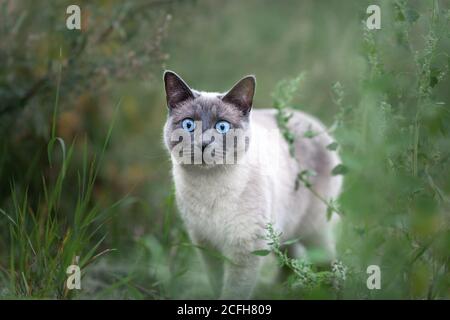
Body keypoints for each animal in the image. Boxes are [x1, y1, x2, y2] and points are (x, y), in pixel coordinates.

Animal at [163, 70, 342, 300]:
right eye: (188, 125)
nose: (203, 144)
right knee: (289, 261)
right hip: (284, 232)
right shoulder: (206, 244)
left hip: (312, 230)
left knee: (326, 262)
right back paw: (279, 291)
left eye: (222, 126)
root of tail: (315, 123)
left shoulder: (245, 247)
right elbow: (217, 283)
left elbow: (233, 291)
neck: (209, 188)